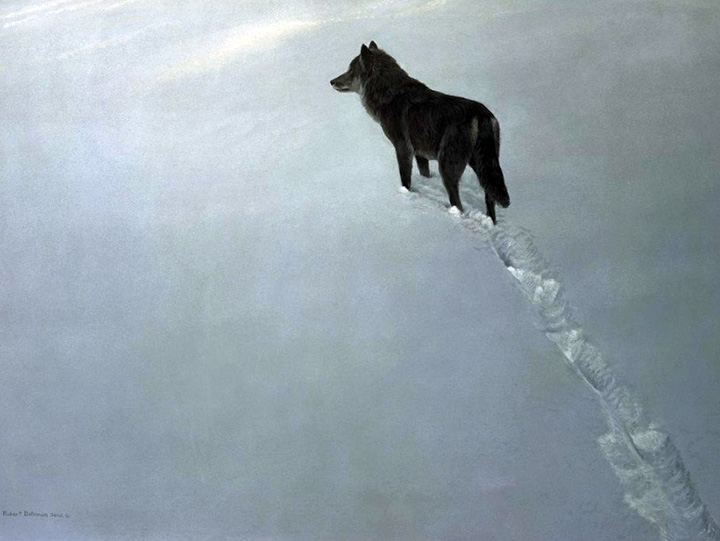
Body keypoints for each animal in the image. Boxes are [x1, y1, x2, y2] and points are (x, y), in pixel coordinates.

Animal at [331, 41, 509, 224]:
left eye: (351, 71)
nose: (331, 81)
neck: (390, 95)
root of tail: (482, 114)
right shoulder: (420, 154)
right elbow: (425, 174)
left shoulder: (403, 148)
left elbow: (405, 180)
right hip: (484, 169)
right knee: (490, 201)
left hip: (448, 168)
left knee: (458, 204)